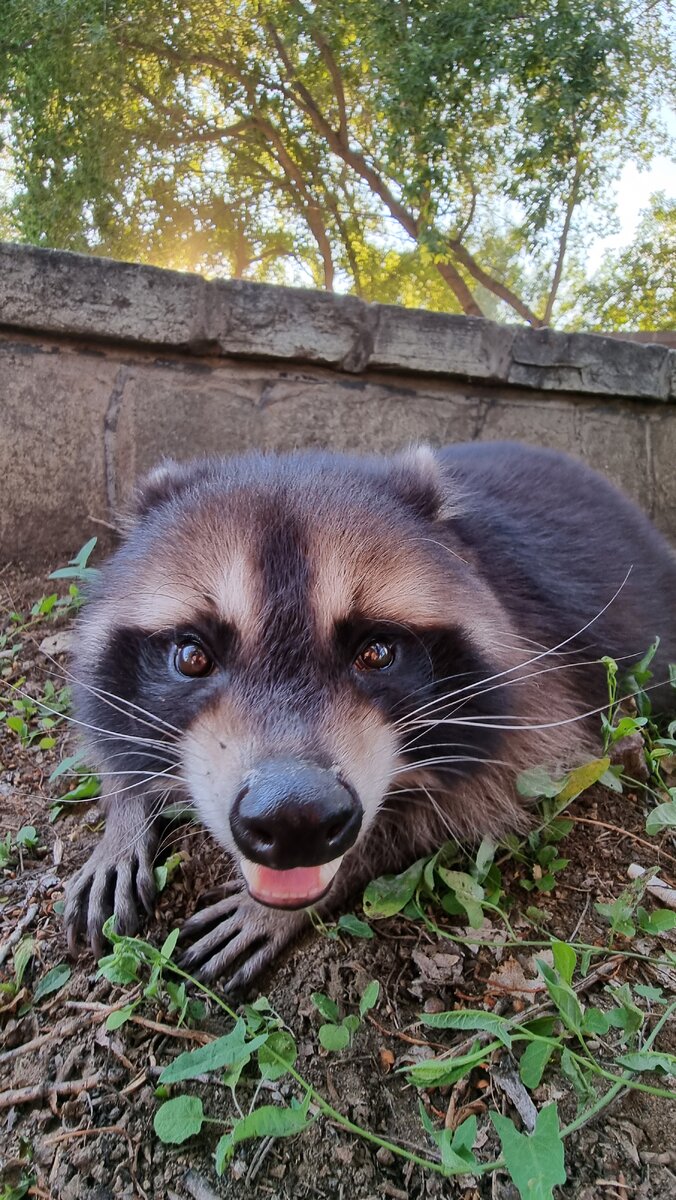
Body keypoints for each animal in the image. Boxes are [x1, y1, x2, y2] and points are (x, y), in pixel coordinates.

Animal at [63, 446, 676, 988]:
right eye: (193, 657)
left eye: (377, 652)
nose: (295, 819)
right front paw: (125, 811)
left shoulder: (540, 677)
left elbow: (485, 792)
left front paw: (300, 900)